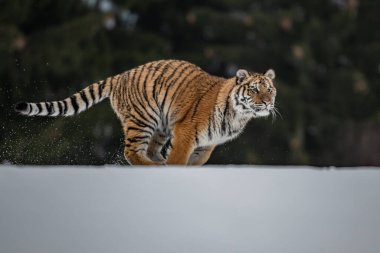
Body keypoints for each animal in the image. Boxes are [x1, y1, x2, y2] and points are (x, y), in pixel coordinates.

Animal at [15, 59, 276, 166]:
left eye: (270, 89)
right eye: (254, 89)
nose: (266, 103)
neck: (238, 116)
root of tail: (120, 75)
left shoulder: (206, 145)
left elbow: (196, 162)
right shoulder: (185, 133)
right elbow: (178, 160)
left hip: (160, 127)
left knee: (149, 150)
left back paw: (158, 163)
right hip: (143, 120)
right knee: (131, 152)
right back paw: (155, 167)